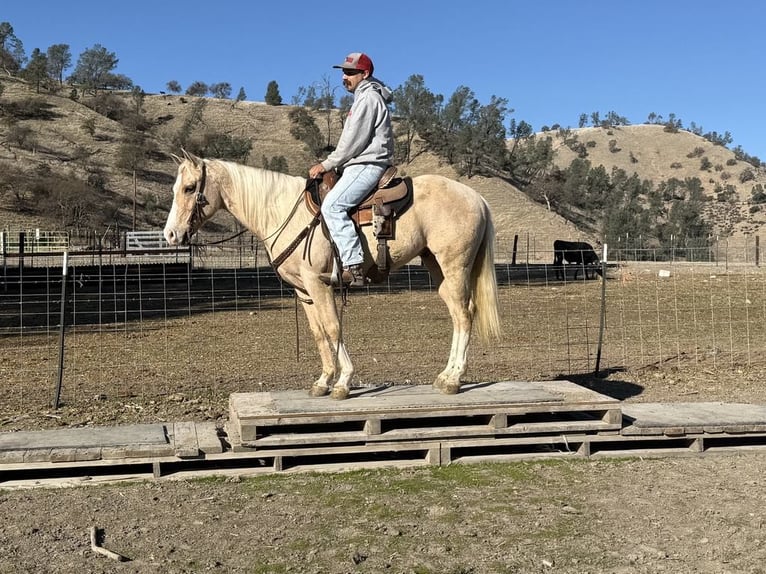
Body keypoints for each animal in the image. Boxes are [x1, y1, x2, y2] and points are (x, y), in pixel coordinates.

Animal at [163, 150, 501, 400]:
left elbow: (333, 327)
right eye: (175, 189)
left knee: (464, 314)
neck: (282, 211)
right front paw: (323, 381)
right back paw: (445, 376)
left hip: (454, 265)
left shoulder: (319, 283)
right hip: (437, 267)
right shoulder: (303, 291)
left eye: (190, 188)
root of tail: (477, 197)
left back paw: (453, 379)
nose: (170, 234)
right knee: (458, 314)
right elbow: (318, 333)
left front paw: (343, 382)